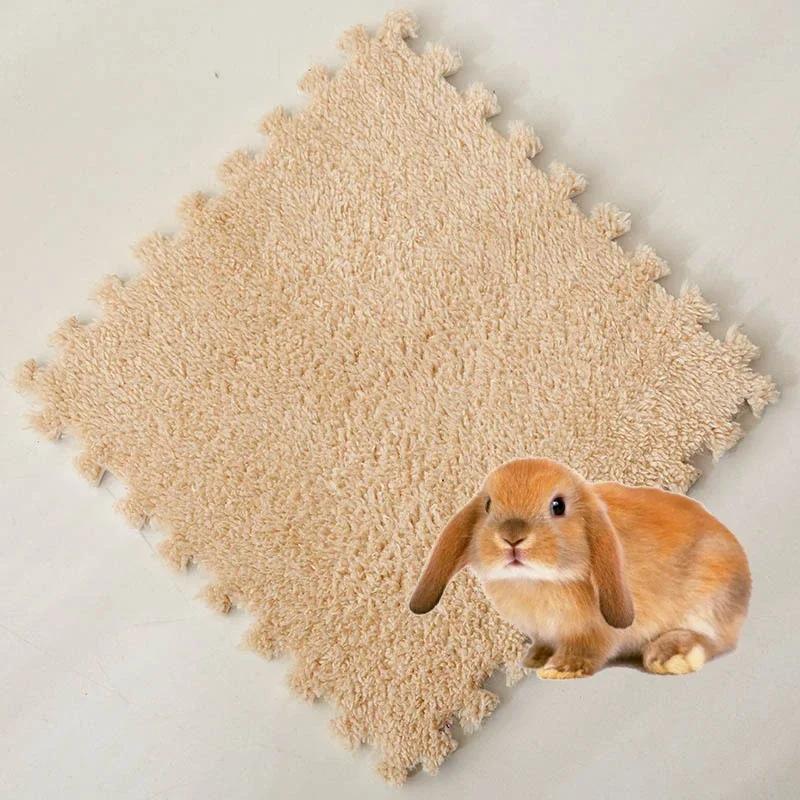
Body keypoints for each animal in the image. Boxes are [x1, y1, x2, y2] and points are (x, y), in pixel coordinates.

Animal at [409, 458, 750, 679]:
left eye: (558, 506)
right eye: (488, 505)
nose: (512, 537)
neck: (534, 581)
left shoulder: (593, 630)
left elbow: (587, 649)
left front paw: (559, 669)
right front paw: (536, 659)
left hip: (708, 596)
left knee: (715, 640)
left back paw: (670, 656)